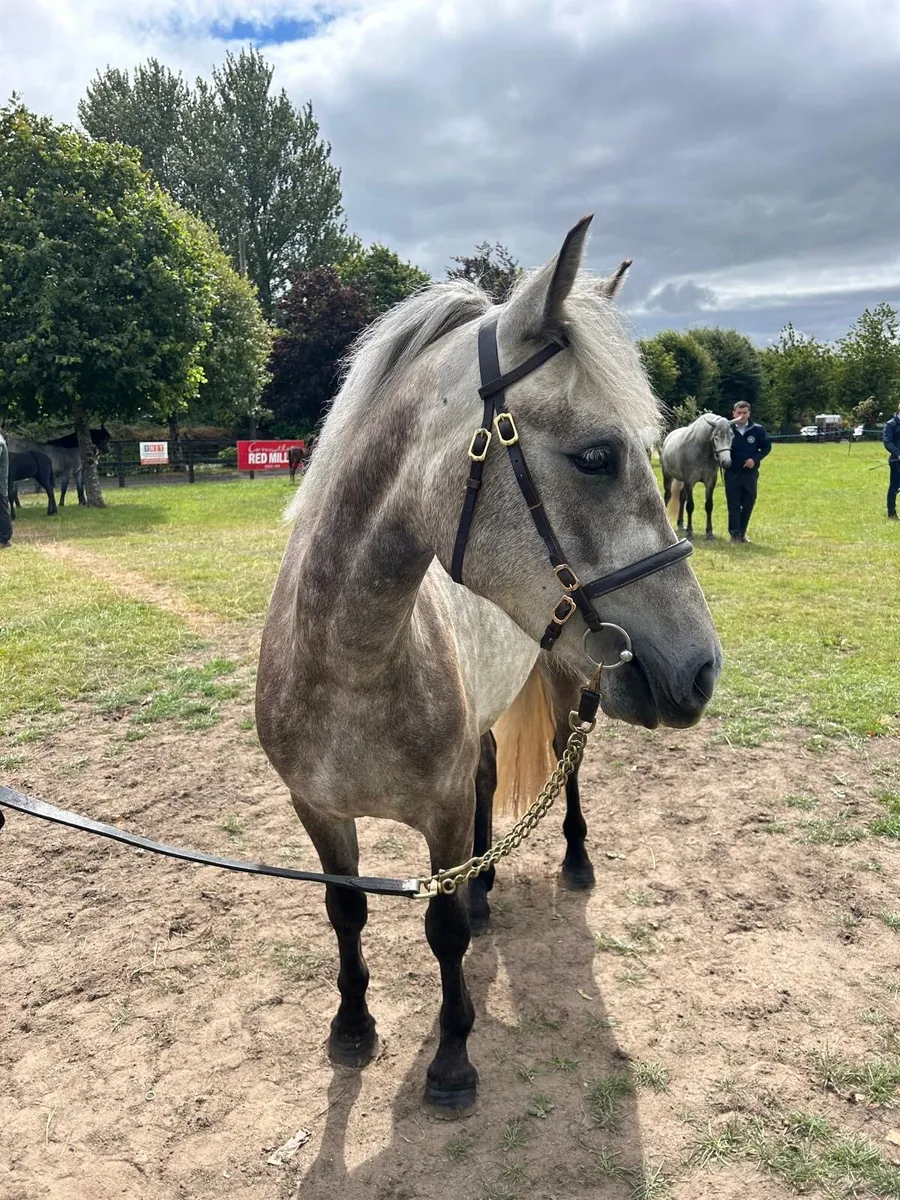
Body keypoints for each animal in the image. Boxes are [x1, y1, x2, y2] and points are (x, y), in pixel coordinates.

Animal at [254, 216, 722, 1113]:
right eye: (597, 456)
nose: (702, 669)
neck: (351, 664)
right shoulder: (318, 811)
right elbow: (344, 913)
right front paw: (352, 1027)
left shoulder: (436, 813)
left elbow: (439, 932)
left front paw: (451, 1058)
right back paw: (484, 892)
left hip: (574, 690)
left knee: (565, 776)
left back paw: (570, 863)